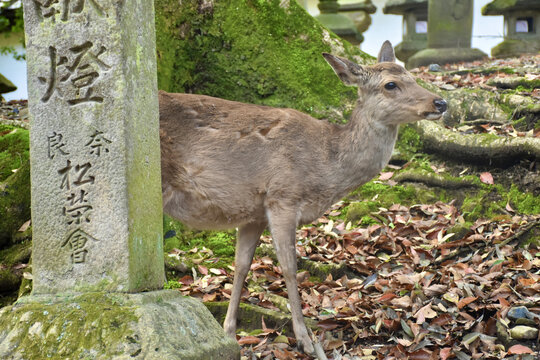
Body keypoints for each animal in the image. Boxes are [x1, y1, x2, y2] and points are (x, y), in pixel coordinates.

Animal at [159, 41, 448, 358]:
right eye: (391, 85)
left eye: (412, 75)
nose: (440, 103)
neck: (326, 165)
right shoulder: (283, 196)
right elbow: (289, 267)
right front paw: (305, 339)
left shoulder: (254, 210)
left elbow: (242, 265)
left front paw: (229, 333)